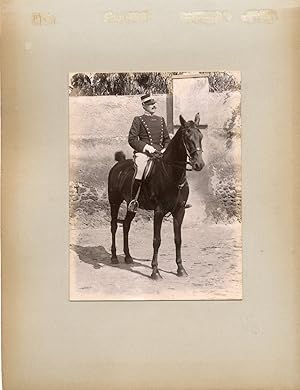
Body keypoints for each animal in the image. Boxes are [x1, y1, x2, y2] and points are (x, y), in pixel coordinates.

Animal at [108, 112, 206, 280]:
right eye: (187, 137)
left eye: (200, 136)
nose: (199, 164)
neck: (172, 174)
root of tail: (119, 164)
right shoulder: (159, 211)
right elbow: (156, 240)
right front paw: (155, 271)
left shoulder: (179, 211)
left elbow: (178, 239)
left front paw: (181, 269)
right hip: (114, 202)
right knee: (114, 226)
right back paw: (114, 257)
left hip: (131, 206)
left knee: (126, 225)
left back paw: (128, 256)